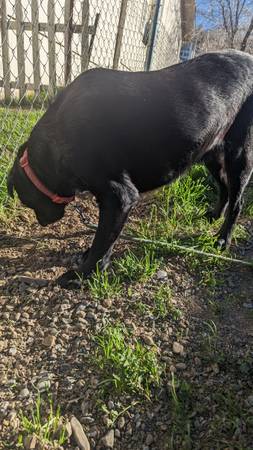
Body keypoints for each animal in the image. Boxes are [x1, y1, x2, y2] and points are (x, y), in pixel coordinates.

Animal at [6, 49, 253, 286]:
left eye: (26, 201)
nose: (43, 222)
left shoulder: (120, 198)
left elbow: (101, 242)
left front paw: (82, 275)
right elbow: (106, 240)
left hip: (239, 157)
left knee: (238, 202)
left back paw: (222, 239)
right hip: (211, 153)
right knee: (224, 188)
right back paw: (215, 215)